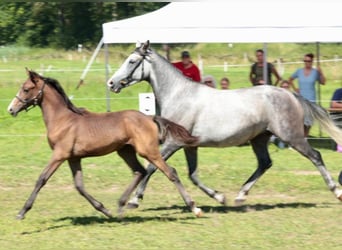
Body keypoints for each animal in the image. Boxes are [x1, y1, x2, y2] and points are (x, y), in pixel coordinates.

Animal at [108, 41, 342, 208]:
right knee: (265, 163)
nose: (111, 83)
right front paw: (220, 197)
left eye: (132, 61)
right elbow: (192, 175)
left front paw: (134, 200)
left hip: (291, 136)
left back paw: (336, 191)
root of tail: (290, 94)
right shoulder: (189, 145)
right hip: (260, 138)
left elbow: (151, 167)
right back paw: (240, 196)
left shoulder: (173, 143)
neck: (179, 96)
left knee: (315, 156)